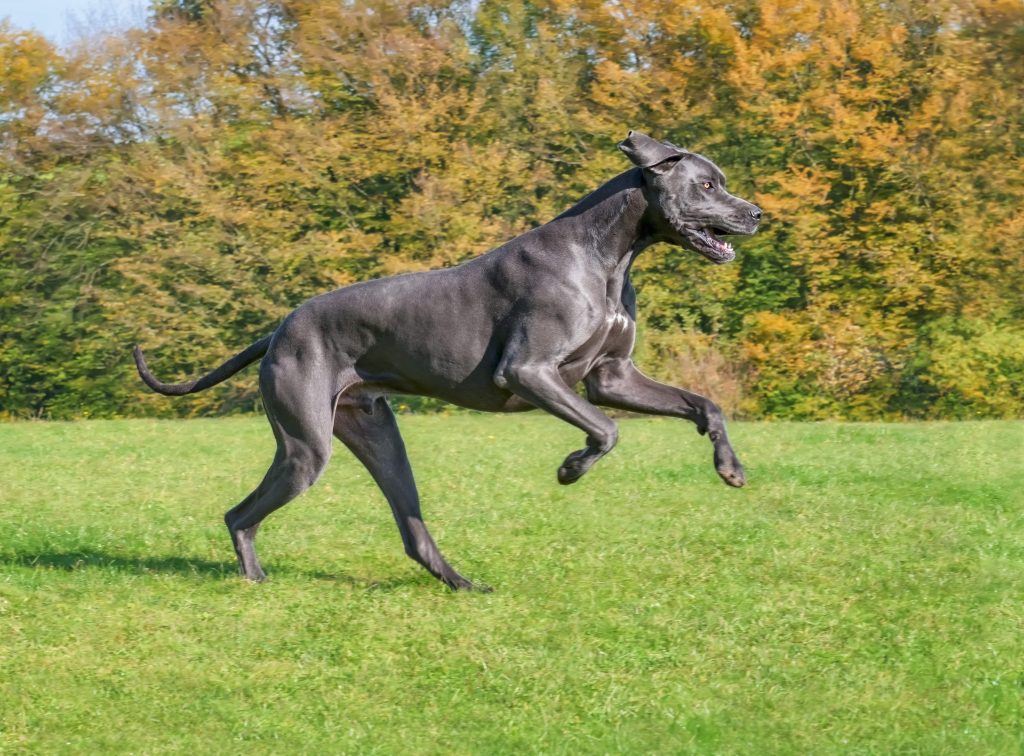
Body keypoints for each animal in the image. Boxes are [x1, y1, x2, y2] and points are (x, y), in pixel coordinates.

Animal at [134, 129, 761, 590]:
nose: (756, 214)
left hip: (376, 435)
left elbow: (704, 405)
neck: (608, 253)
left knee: (410, 528)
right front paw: (569, 469)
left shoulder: (613, 377)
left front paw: (730, 468)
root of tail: (278, 330)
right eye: (707, 184)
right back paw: (256, 581)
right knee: (239, 514)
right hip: (306, 447)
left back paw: (463, 584)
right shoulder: (530, 372)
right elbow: (607, 431)